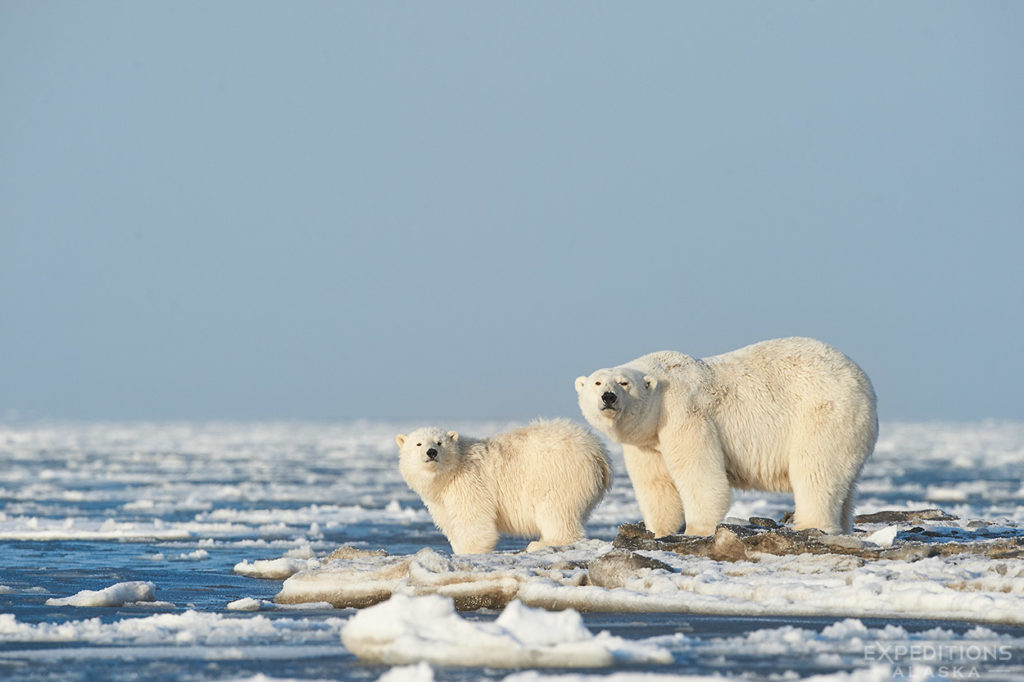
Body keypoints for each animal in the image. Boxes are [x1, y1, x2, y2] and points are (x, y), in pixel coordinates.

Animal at [395, 419, 610, 552]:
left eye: (439, 442)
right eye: (418, 444)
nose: (431, 452)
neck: (448, 474)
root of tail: (599, 453)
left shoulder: (469, 483)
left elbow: (473, 519)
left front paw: (469, 550)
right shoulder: (440, 500)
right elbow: (449, 520)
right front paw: (458, 547)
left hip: (558, 474)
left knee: (555, 509)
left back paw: (542, 543)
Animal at [577, 337, 880, 532]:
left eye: (624, 383)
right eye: (597, 382)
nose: (608, 397)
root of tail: (866, 385)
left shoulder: (684, 413)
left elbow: (698, 472)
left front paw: (696, 529)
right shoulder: (647, 441)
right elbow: (655, 482)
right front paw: (659, 530)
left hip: (823, 413)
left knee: (815, 469)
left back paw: (810, 524)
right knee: (844, 483)